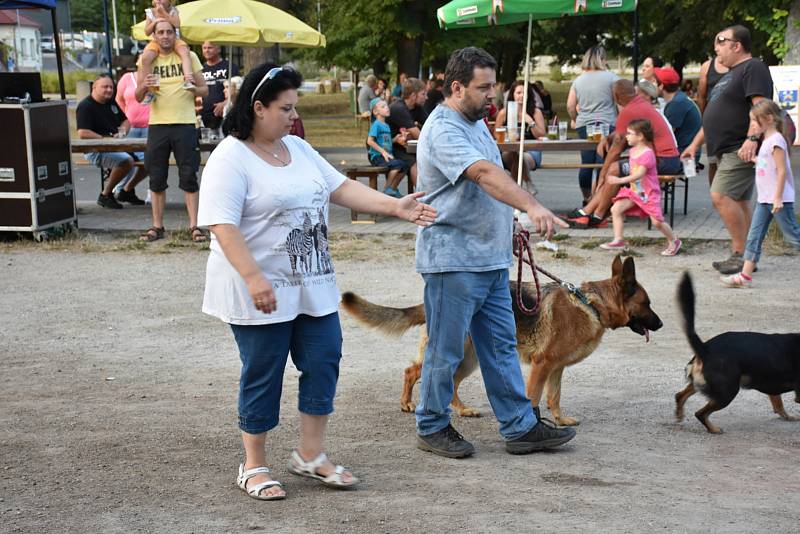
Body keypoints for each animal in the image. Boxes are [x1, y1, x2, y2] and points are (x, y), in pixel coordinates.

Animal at [344, 255, 664, 428]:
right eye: (647, 303)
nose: (661, 324)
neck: (591, 305)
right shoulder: (542, 365)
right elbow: (534, 397)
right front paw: (534, 424)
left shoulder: (556, 368)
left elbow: (554, 397)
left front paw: (560, 420)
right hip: (455, 353)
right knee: (412, 371)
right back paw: (407, 403)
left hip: (469, 360)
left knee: (451, 383)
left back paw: (462, 409)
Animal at [676, 274, 800, 434]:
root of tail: (705, 348)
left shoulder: (774, 386)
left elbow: (778, 403)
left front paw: (787, 416)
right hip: (727, 391)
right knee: (700, 413)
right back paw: (713, 429)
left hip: (708, 385)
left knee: (680, 396)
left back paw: (679, 415)